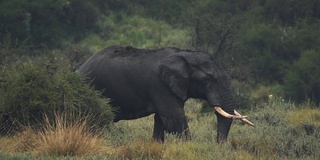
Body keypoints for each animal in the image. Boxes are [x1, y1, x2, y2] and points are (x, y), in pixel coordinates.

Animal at [77, 44, 252, 142]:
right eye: (209, 79)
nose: (219, 145)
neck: (185, 54)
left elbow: (161, 119)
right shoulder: (160, 86)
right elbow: (174, 118)